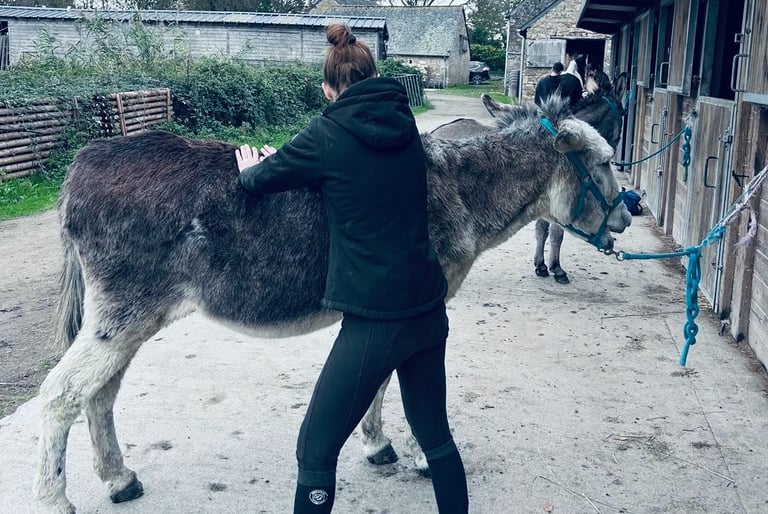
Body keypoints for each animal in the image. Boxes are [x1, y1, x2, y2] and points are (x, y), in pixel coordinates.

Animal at [33, 95, 631, 513]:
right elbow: (401, 386)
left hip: (130, 318)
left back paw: (119, 479)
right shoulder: (416, 311)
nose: (631, 213)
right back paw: (55, 500)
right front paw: (410, 452)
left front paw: (377, 444)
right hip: (124, 313)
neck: (461, 189)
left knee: (100, 394)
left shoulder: (384, 313)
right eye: (605, 162)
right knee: (61, 394)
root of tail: (85, 162)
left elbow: (379, 380)